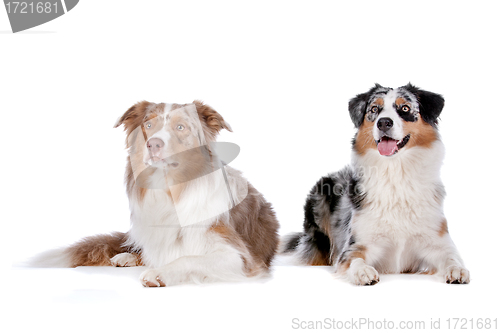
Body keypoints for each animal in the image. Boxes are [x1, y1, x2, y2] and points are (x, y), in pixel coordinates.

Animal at [33, 100, 280, 286]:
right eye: (148, 125)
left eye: (181, 127)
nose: (153, 144)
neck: (169, 189)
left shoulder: (240, 257)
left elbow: (189, 257)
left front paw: (159, 273)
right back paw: (126, 256)